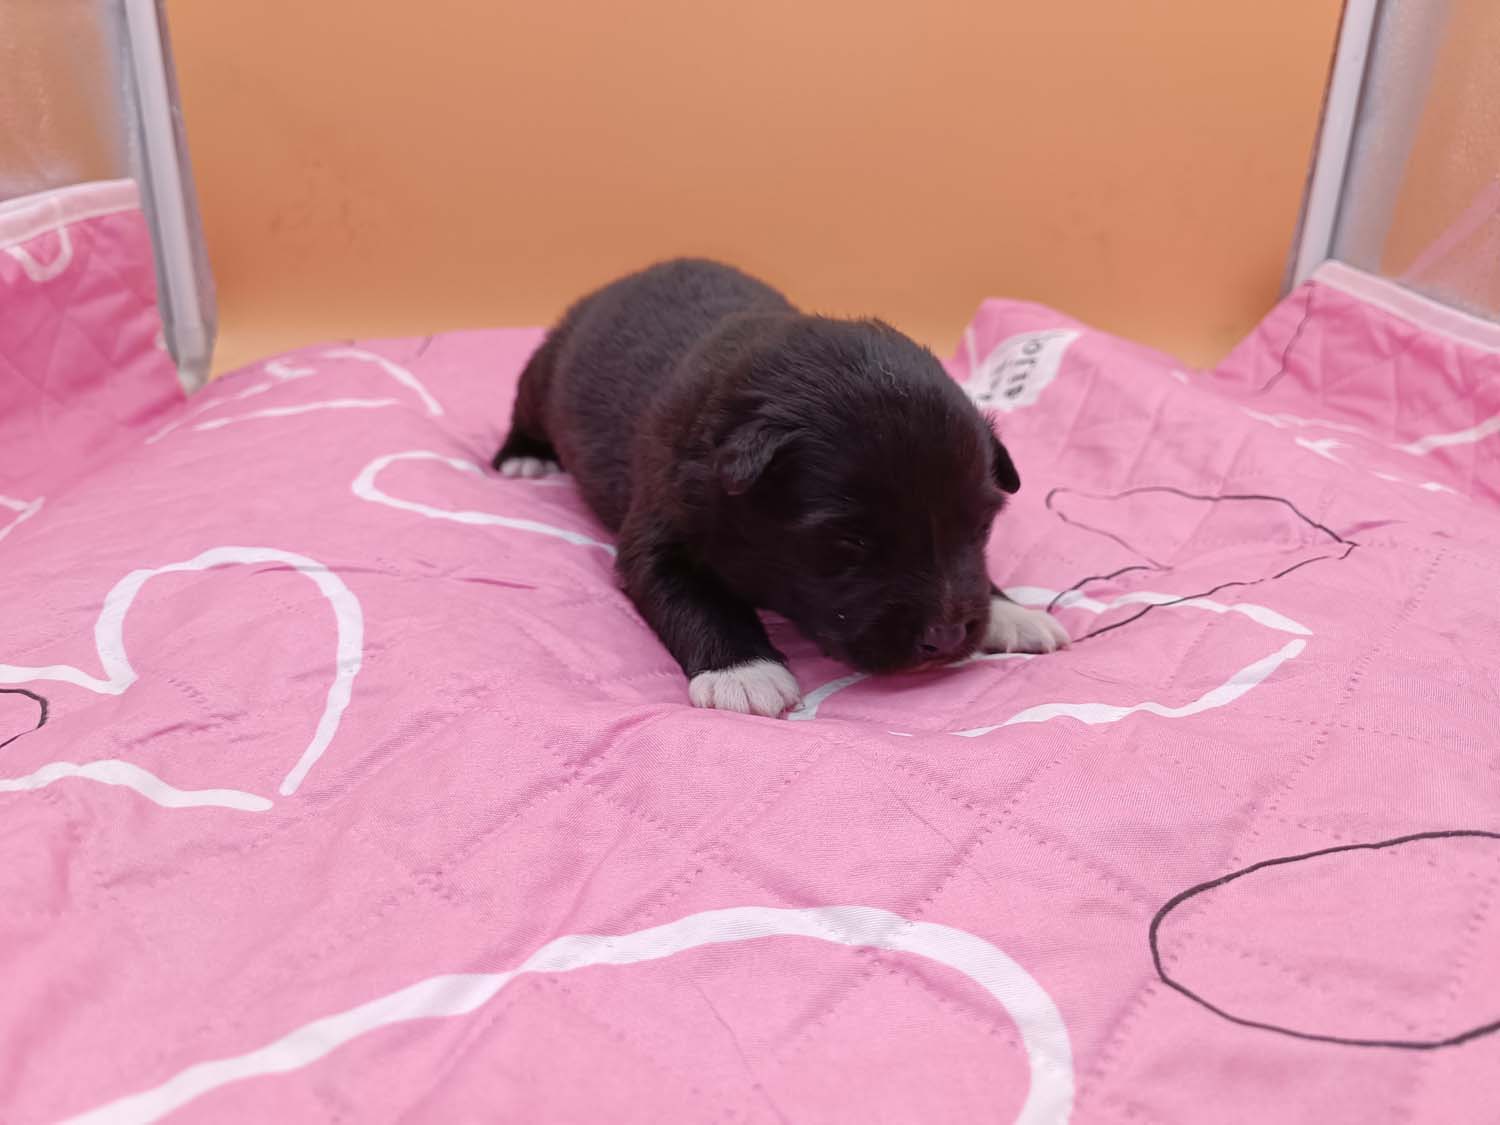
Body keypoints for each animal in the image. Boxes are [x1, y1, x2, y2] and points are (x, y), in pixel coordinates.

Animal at [494, 259, 1068, 716]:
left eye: (981, 528)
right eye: (848, 544)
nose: (947, 638)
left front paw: (1012, 612)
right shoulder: (660, 527)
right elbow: (693, 596)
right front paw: (745, 673)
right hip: (543, 372)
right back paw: (523, 457)